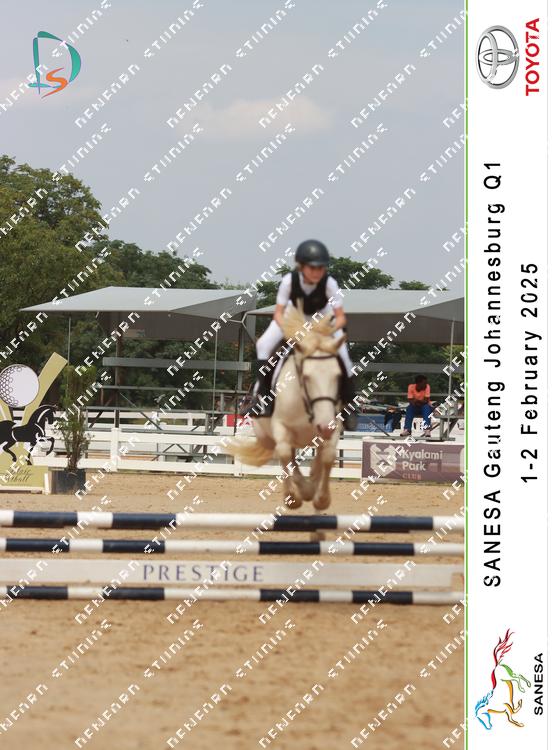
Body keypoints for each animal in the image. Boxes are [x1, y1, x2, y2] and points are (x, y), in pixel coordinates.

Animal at [227, 305, 345, 510]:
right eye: (306, 376)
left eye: (338, 375)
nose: (324, 425)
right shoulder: (281, 428)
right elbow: (284, 457)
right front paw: (296, 496)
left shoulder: (333, 426)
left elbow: (328, 456)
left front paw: (321, 497)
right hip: (268, 436)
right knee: (286, 457)